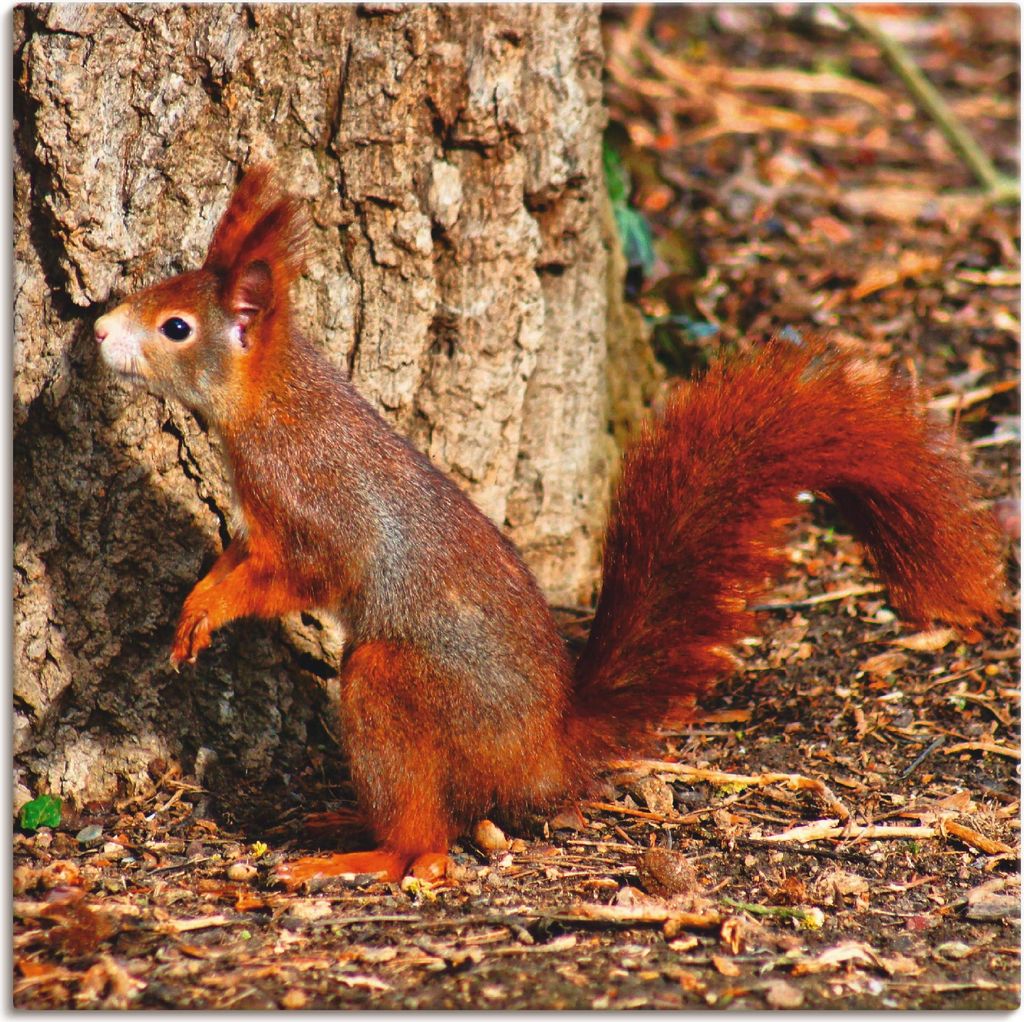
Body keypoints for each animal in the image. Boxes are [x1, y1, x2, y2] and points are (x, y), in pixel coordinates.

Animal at [94, 165, 1003, 885]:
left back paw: (368, 855)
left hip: (396, 686)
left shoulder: (319, 512)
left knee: (429, 841)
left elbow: (296, 575)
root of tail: (548, 749)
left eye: (176, 327)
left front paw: (211, 611)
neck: (273, 405)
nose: (99, 328)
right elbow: (237, 557)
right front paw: (195, 603)